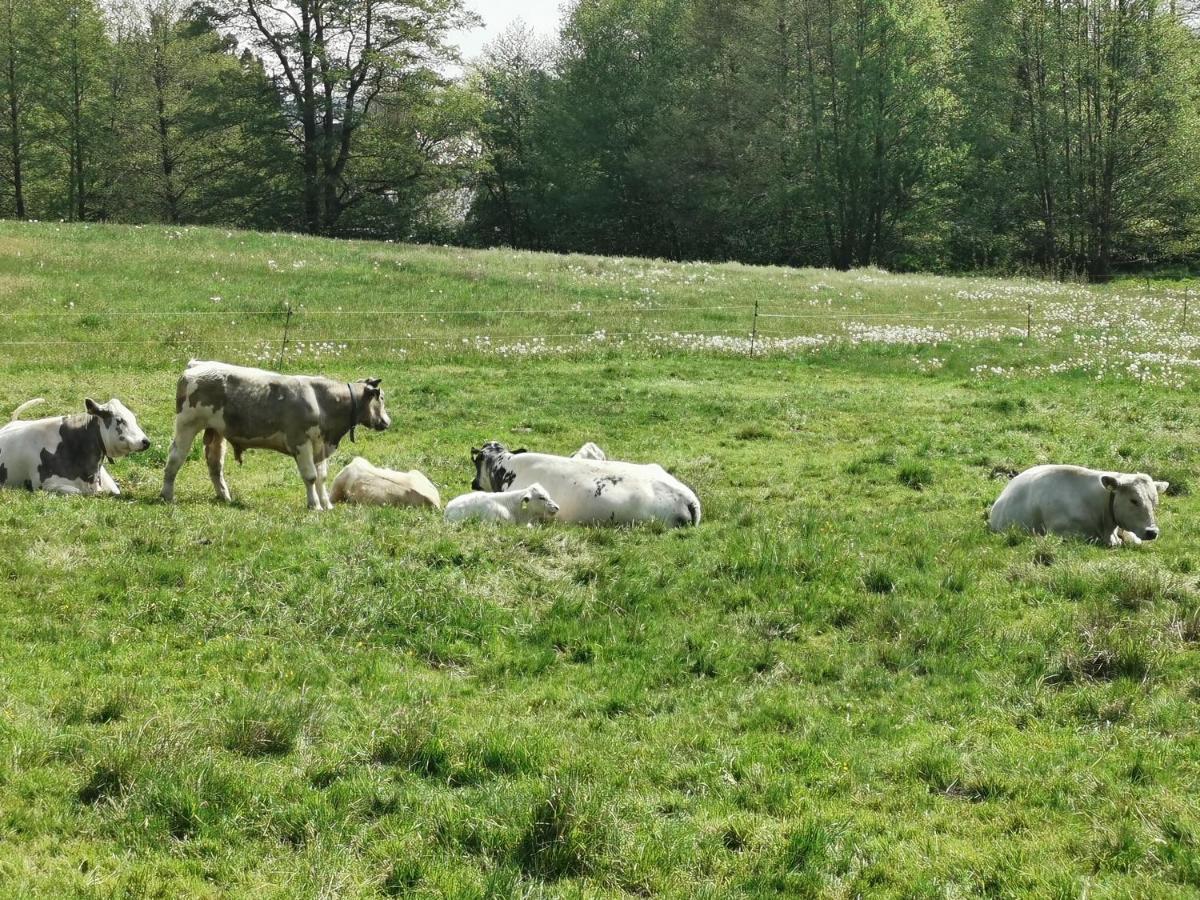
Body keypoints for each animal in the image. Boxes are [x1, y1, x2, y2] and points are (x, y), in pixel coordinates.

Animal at [159, 362, 391, 511]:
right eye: (381, 398)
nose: (387, 422)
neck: (322, 400)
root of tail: (195, 366)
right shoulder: (300, 442)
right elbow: (310, 476)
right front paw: (314, 505)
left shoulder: (320, 445)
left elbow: (322, 477)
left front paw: (327, 504)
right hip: (187, 425)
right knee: (175, 458)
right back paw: (167, 495)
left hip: (216, 432)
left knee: (215, 465)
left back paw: (225, 496)